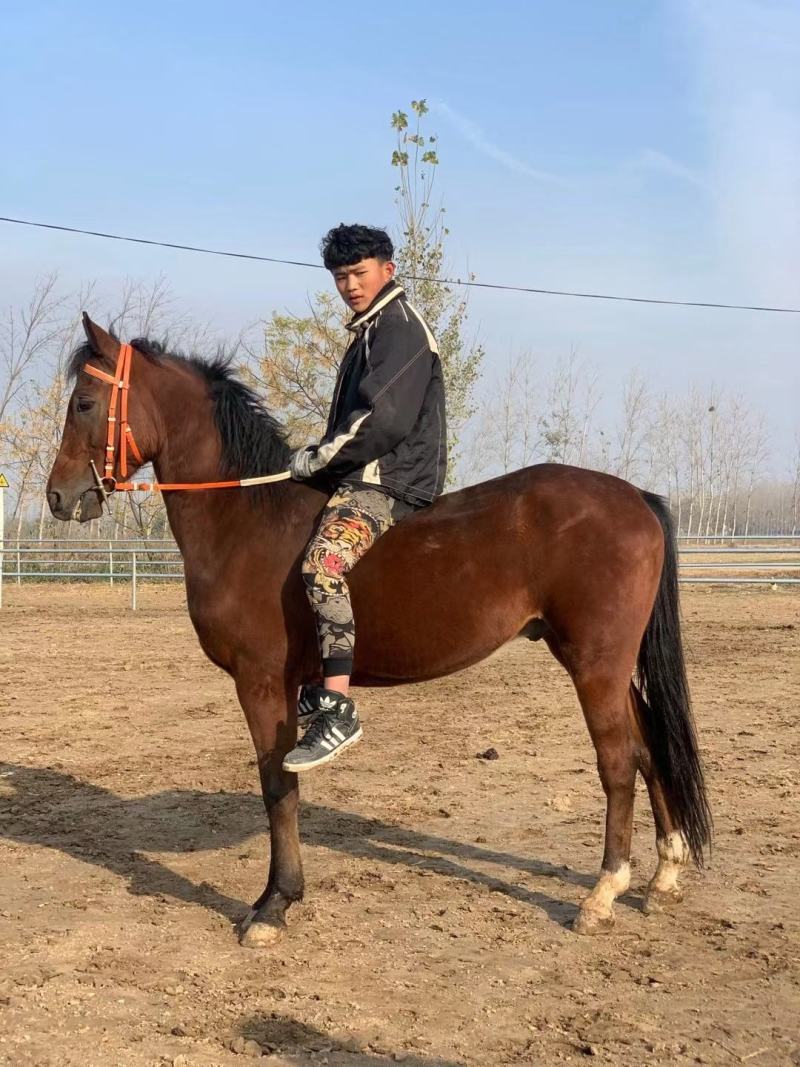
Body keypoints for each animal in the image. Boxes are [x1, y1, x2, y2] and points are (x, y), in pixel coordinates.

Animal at [46, 316, 711, 947]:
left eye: (84, 402)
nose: (58, 497)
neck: (248, 520)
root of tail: (636, 497)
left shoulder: (260, 683)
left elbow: (276, 783)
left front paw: (274, 904)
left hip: (595, 664)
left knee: (618, 761)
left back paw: (603, 893)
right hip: (612, 666)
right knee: (649, 750)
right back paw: (663, 874)